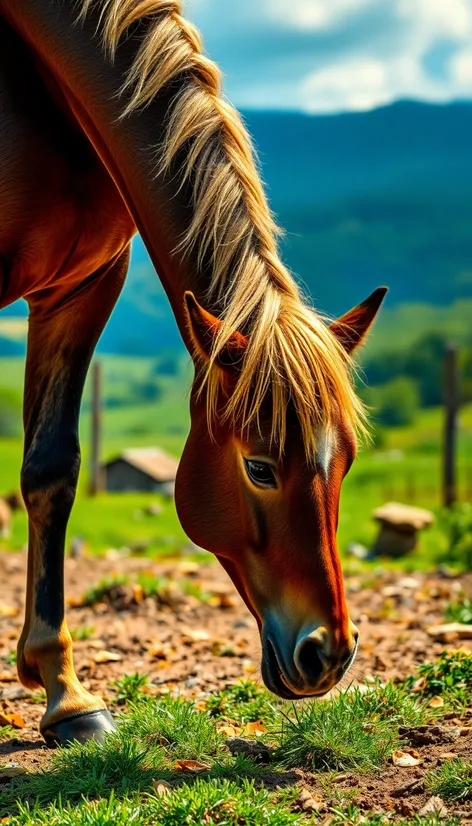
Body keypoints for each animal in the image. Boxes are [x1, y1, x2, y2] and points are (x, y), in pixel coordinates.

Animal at [0, 1, 386, 748]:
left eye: (348, 461)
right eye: (259, 467)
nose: (328, 654)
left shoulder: (83, 286)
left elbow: (50, 471)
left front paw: (64, 691)